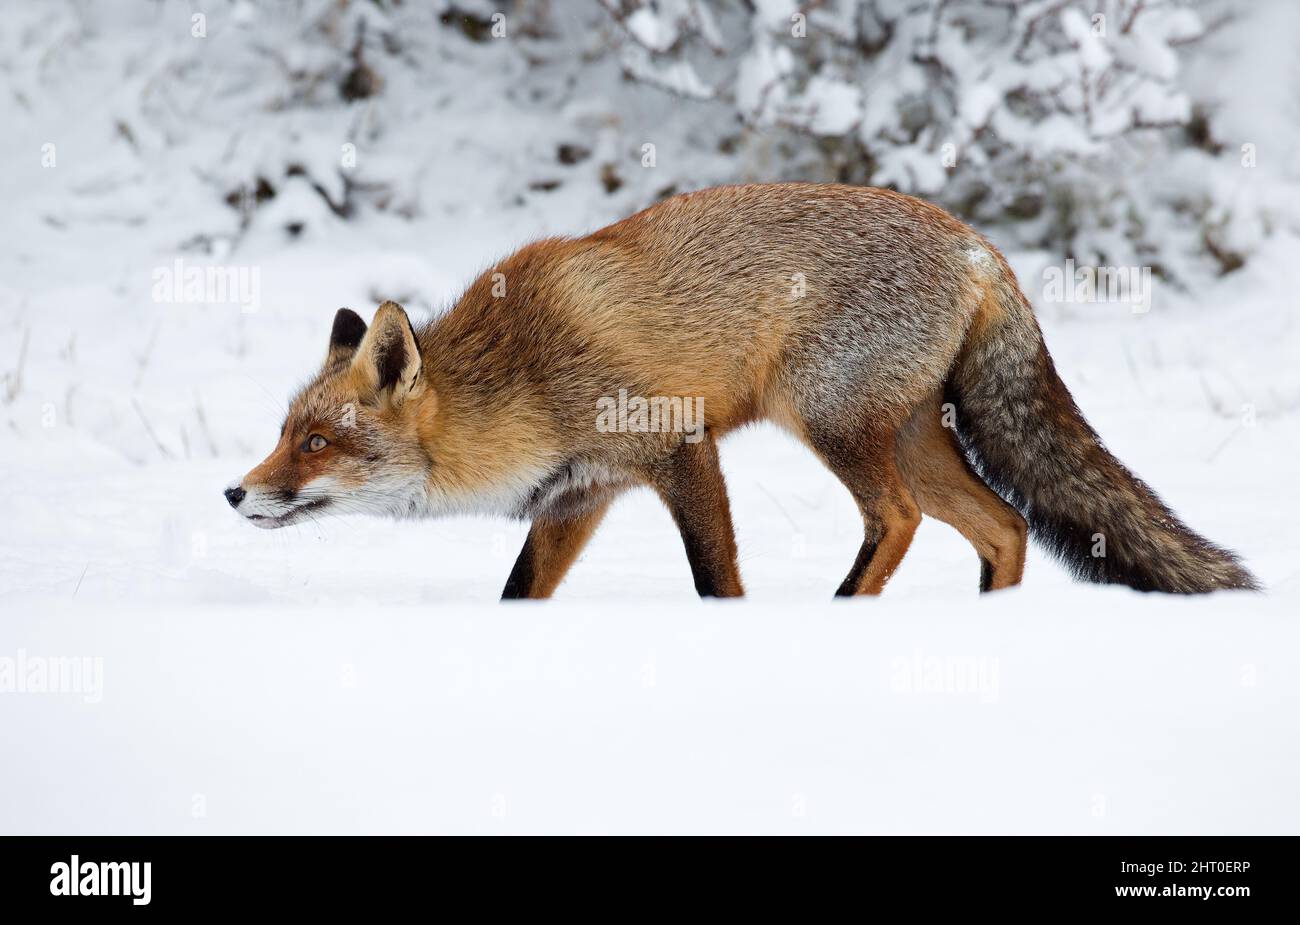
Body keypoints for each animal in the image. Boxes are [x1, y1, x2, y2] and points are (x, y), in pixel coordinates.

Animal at [225, 183, 1257, 598]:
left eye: (316, 443)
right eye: (285, 432)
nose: (235, 491)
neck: (525, 372)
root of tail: (977, 244)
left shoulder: (679, 447)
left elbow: (714, 579)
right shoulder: (579, 496)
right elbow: (520, 595)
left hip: (833, 423)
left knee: (899, 521)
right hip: (912, 436)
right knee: (1004, 528)